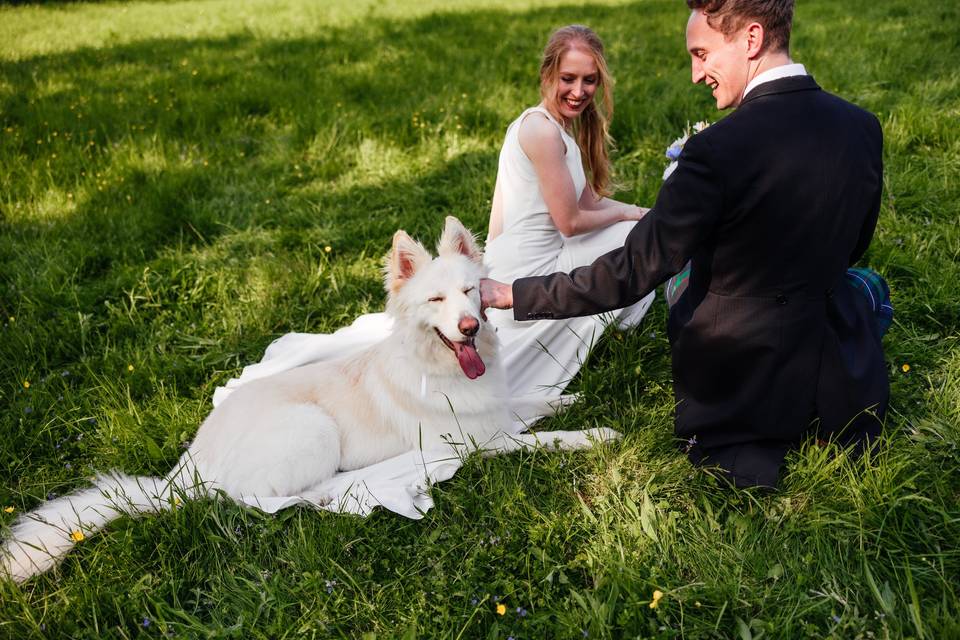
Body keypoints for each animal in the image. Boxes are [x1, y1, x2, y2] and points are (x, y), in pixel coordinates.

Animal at [3, 215, 620, 580]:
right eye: (437, 300)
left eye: (471, 292)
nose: (469, 327)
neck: (439, 367)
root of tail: (184, 472)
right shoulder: (475, 445)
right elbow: (543, 439)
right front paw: (595, 433)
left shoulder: (497, 414)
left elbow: (533, 404)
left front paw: (568, 399)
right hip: (311, 430)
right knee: (265, 499)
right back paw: (329, 492)